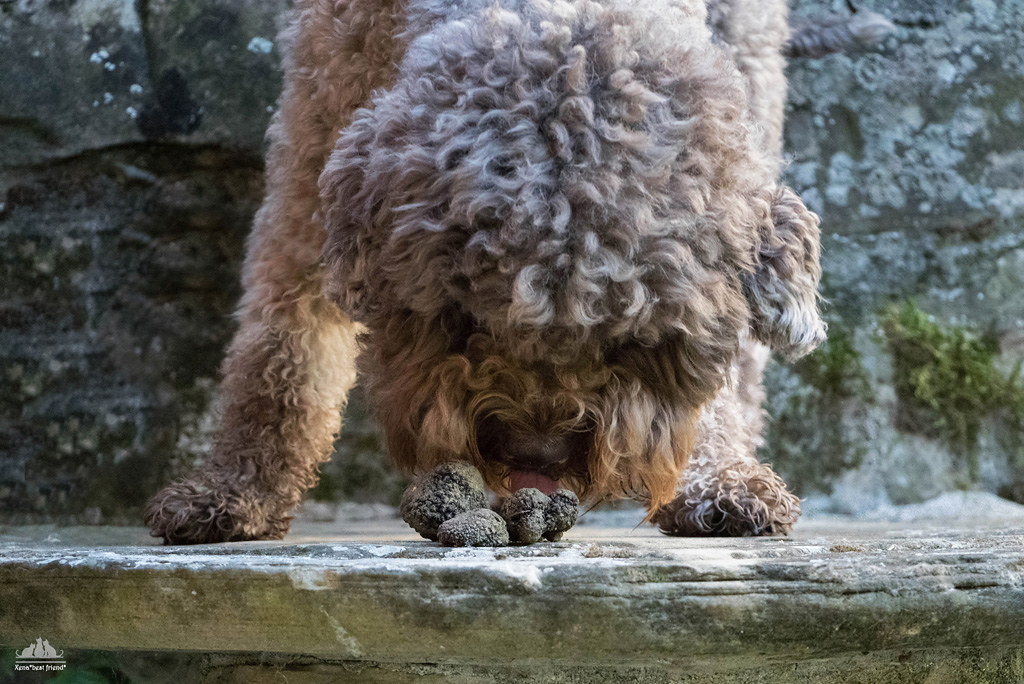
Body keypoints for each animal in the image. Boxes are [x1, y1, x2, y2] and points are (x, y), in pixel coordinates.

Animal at [144, 0, 823, 544]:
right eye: (463, 317)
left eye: (637, 342)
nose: (537, 457)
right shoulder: (312, 148)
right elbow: (281, 343)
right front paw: (234, 489)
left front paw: (718, 477)